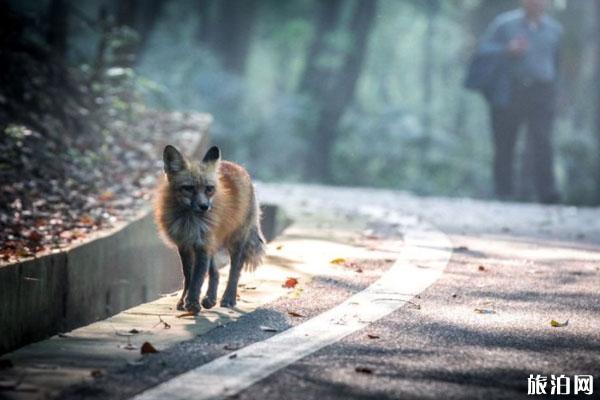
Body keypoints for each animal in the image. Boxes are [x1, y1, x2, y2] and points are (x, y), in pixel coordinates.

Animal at [155, 145, 264, 314]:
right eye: (188, 188)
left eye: (209, 189)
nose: (204, 206)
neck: (189, 221)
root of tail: (238, 167)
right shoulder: (185, 245)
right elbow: (188, 276)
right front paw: (184, 300)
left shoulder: (202, 246)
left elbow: (198, 277)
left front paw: (192, 302)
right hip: (212, 242)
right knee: (216, 272)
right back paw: (210, 299)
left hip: (235, 241)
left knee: (235, 269)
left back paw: (228, 298)